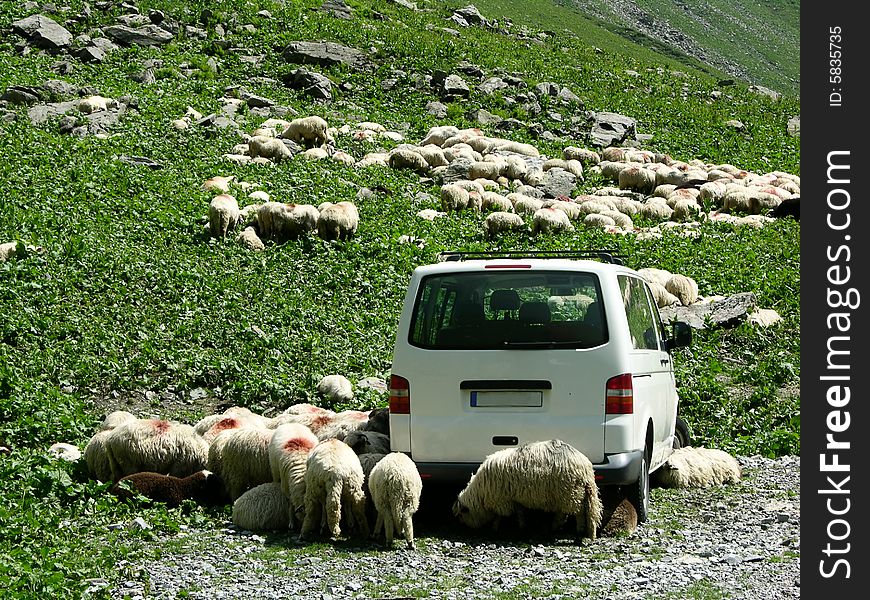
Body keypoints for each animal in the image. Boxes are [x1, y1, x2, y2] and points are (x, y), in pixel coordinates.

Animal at [454, 438, 604, 540]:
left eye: (461, 515)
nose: (463, 529)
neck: (481, 492)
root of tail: (585, 467)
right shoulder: (514, 499)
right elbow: (520, 513)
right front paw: (522, 527)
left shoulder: (502, 500)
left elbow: (500, 516)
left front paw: (495, 528)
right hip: (568, 494)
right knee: (566, 513)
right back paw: (556, 527)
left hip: (570, 492)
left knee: (577, 513)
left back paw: (577, 530)